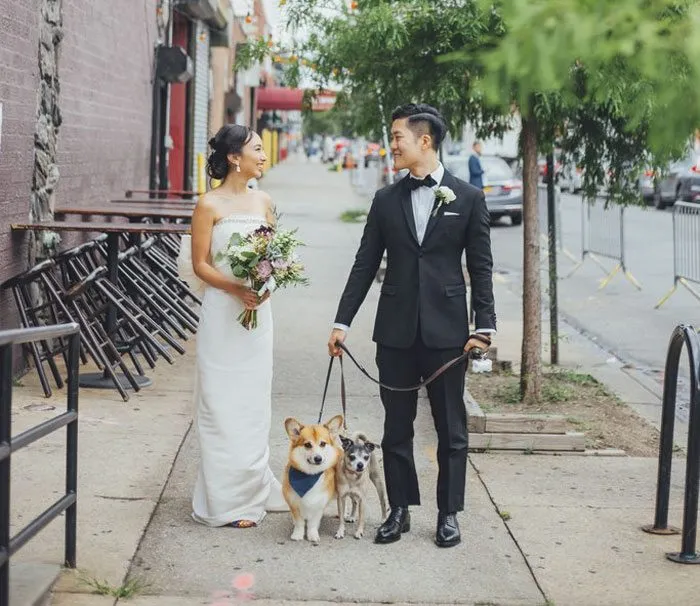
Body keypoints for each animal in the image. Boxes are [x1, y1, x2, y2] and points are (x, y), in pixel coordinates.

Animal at [280, 416, 344, 544]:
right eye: (307, 445)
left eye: (323, 444)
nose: (318, 458)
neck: (310, 475)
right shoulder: (294, 504)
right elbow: (299, 523)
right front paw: (297, 535)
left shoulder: (318, 505)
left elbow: (313, 524)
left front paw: (312, 535)